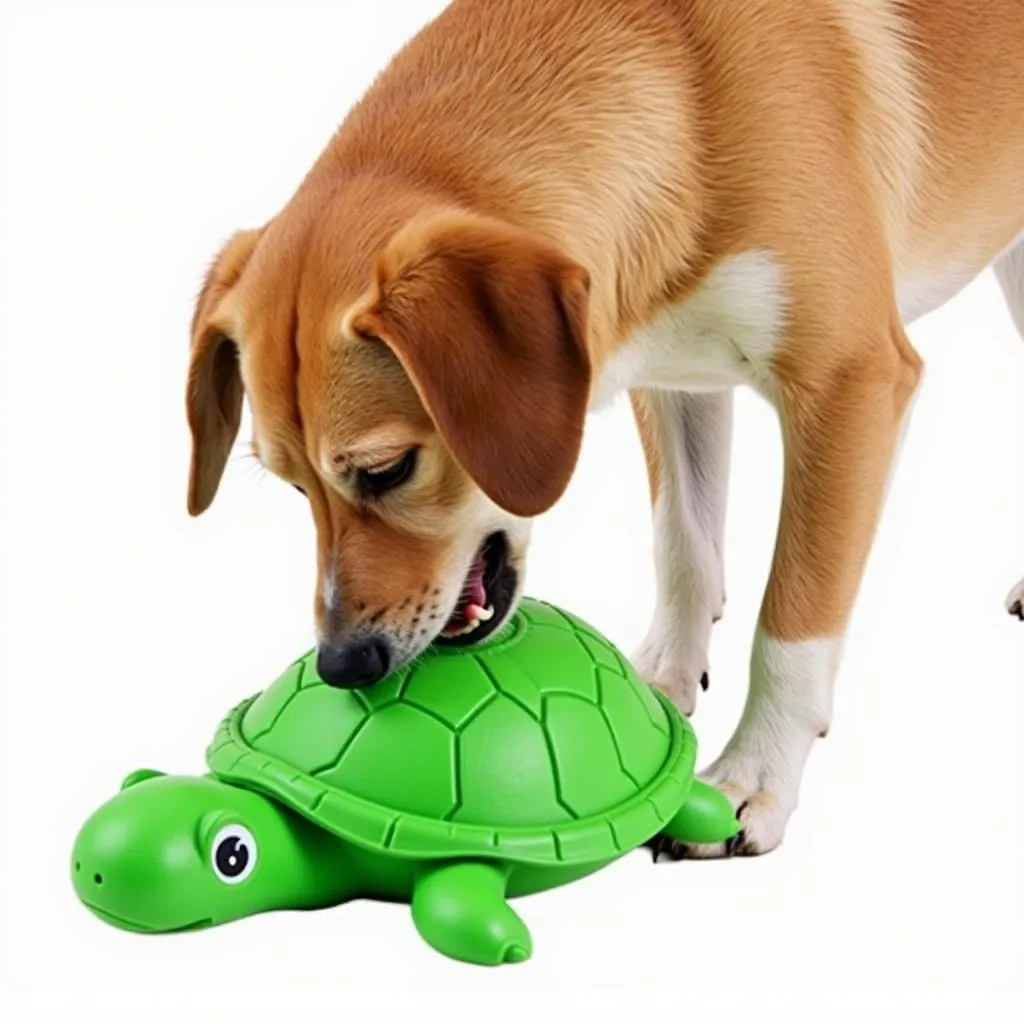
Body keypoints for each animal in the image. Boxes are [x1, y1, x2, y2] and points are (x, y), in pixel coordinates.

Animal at [184, 2, 1024, 856]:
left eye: (388, 469)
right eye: (295, 487)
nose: (344, 665)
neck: (690, 96)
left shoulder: (852, 384)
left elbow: (794, 616)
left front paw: (753, 778)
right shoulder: (672, 375)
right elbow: (683, 544)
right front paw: (661, 683)